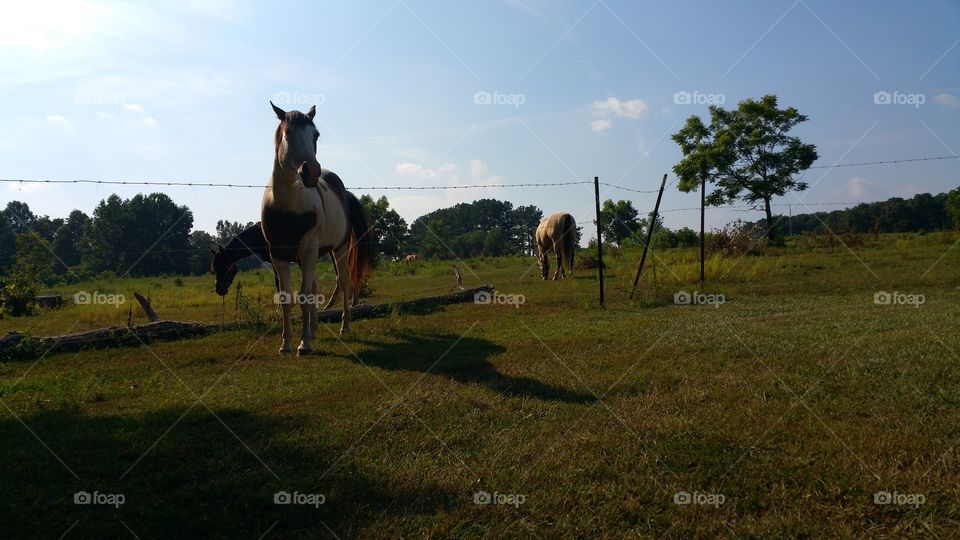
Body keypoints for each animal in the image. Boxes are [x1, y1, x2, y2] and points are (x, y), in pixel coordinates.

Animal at [262, 101, 374, 355]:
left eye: (316, 135)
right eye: (288, 133)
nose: (311, 172)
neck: (288, 206)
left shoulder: (308, 249)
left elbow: (304, 296)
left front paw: (304, 345)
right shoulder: (278, 255)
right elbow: (286, 298)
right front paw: (286, 344)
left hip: (338, 250)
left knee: (343, 282)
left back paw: (344, 326)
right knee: (314, 287)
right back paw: (313, 328)